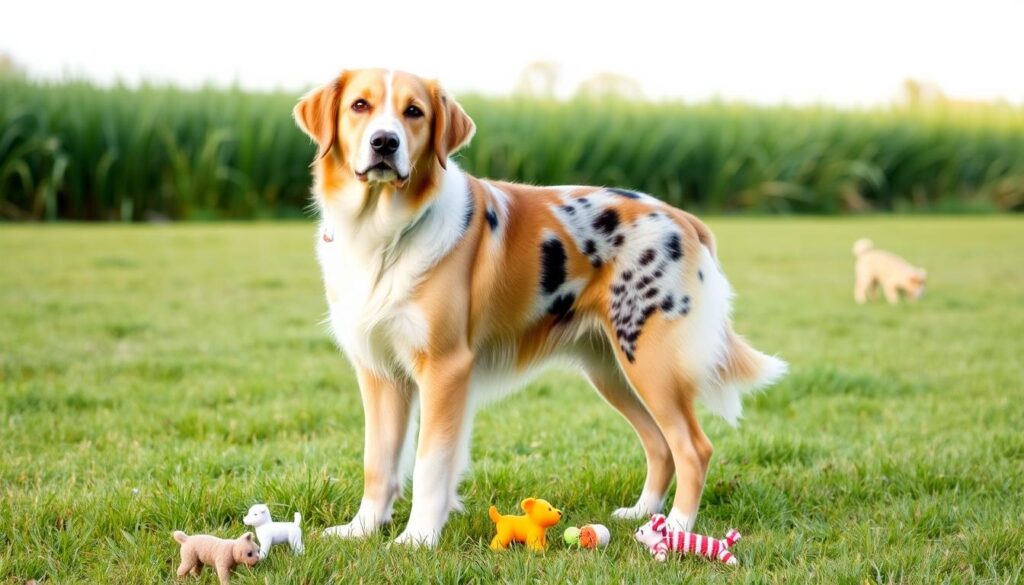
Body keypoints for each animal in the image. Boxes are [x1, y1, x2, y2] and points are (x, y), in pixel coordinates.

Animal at [292, 68, 786, 549]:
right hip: (612, 371)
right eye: (360, 105)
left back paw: (677, 530)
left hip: (651, 363)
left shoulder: (445, 368)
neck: (385, 232)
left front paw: (418, 539)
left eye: (414, 112)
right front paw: (361, 530)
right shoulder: (380, 373)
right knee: (660, 444)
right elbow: (377, 462)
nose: (384, 143)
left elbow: (431, 465)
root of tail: (681, 217)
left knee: (692, 448)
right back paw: (643, 514)